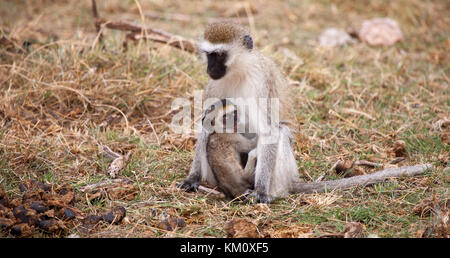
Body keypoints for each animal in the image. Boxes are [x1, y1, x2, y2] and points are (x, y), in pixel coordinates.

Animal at [178, 21, 430, 204]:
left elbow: (270, 130)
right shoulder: (214, 85)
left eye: (220, 55)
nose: (210, 68)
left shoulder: (261, 81)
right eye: (209, 55)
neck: (238, 71)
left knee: (281, 132)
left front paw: (261, 191)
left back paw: (269, 190)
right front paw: (192, 178)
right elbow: (206, 122)